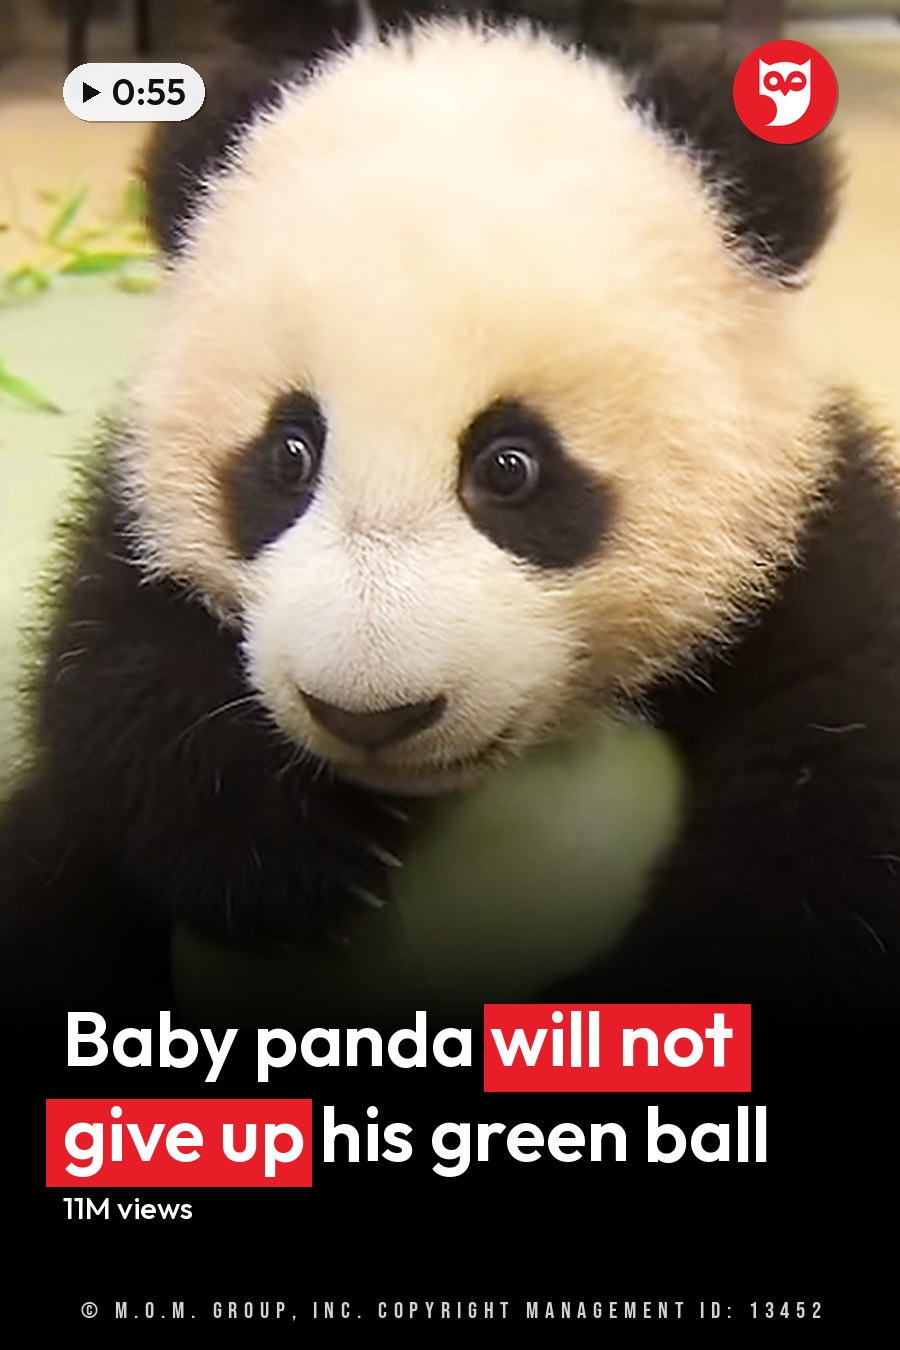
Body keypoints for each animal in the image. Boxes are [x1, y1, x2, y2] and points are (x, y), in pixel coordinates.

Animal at [1, 15, 899, 1027]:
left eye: (511, 468)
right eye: (289, 454)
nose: (368, 713)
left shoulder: (806, 536)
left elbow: (833, 805)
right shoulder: (131, 520)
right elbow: (110, 666)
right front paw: (285, 856)